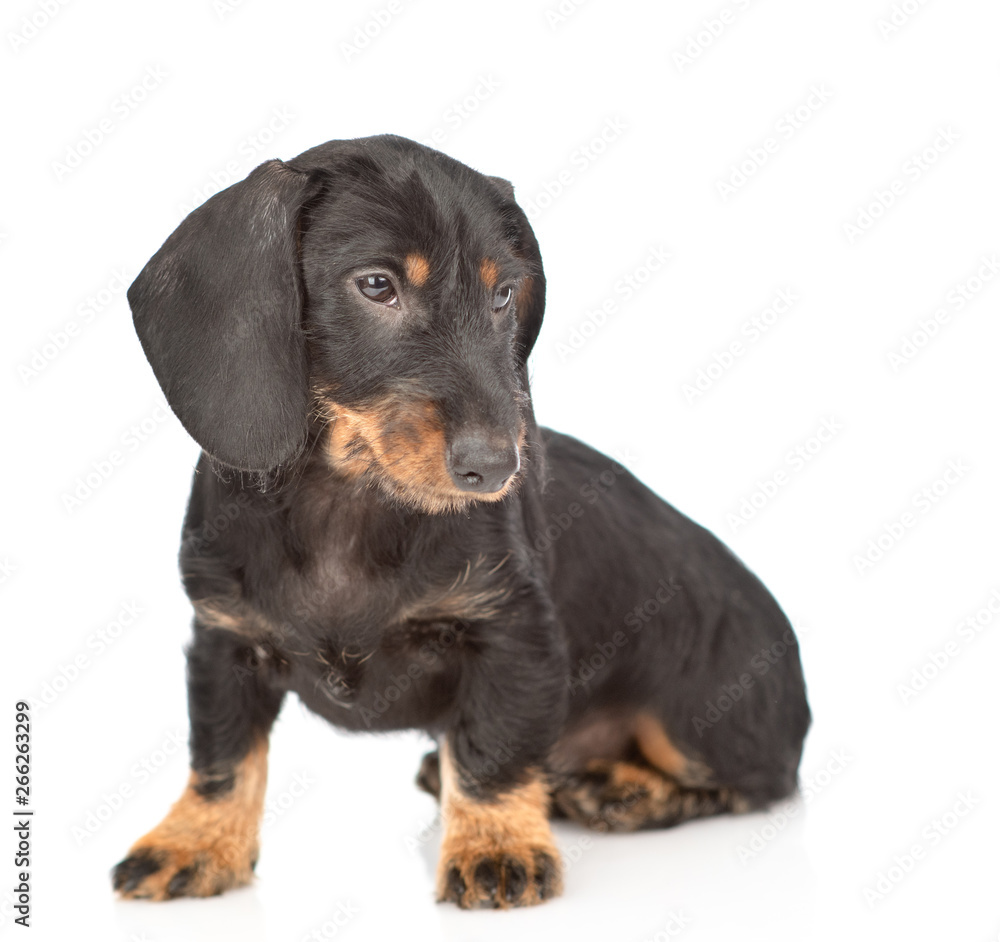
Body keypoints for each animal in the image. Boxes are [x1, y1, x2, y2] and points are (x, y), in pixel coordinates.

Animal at [111, 136, 812, 912]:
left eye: (503, 294)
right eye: (377, 285)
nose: (497, 466)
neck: (351, 502)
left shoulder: (512, 634)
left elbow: (493, 753)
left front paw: (497, 846)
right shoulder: (224, 638)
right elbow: (224, 755)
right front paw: (195, 842)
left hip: (698, 711)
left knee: (755, 783)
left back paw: (619, 790)